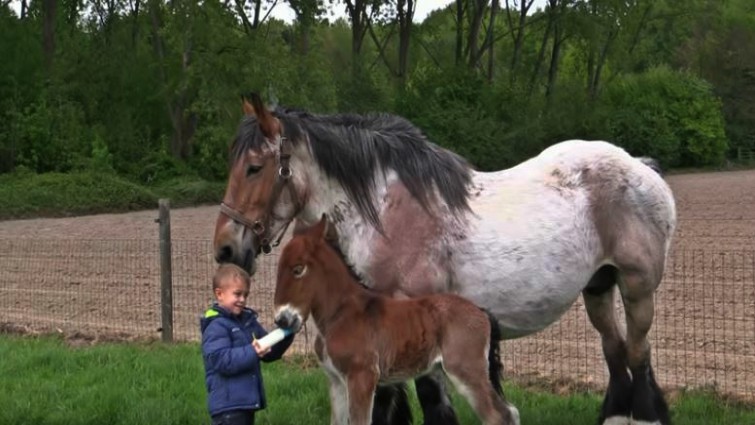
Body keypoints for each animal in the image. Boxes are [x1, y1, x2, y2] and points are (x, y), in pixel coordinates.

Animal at [273, 215, 520, 425]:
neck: (341, 314)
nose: (282, 320)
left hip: (466, 369)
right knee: (510, 412)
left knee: (498, 416)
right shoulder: (336, 382)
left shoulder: (362, 377)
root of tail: (481, 312)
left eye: (298, 269)